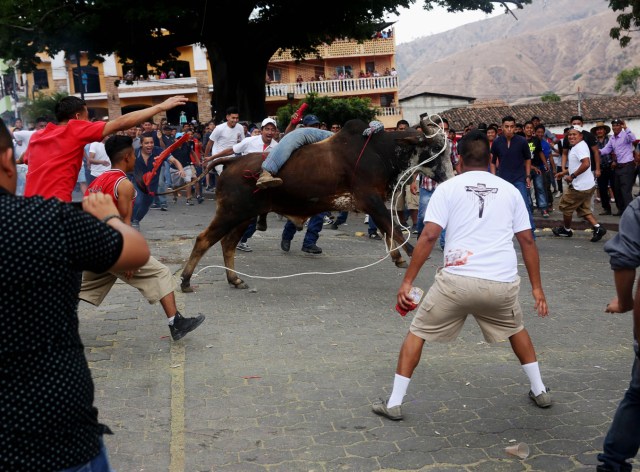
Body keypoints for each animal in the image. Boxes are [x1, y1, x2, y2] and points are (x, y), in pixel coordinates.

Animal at [178, 118, 452, 292]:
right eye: (436, 147)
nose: (449, 178)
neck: (381, 151)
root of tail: (233, 162)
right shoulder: (371, 200)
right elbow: (395, 230)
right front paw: (412, 256)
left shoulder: (374, 203)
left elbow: (389, 230)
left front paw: (397, 257)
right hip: (230, 212)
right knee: (203, 240)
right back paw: (186, 281)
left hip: (243, 216)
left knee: (228, 244)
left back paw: (234, 280)